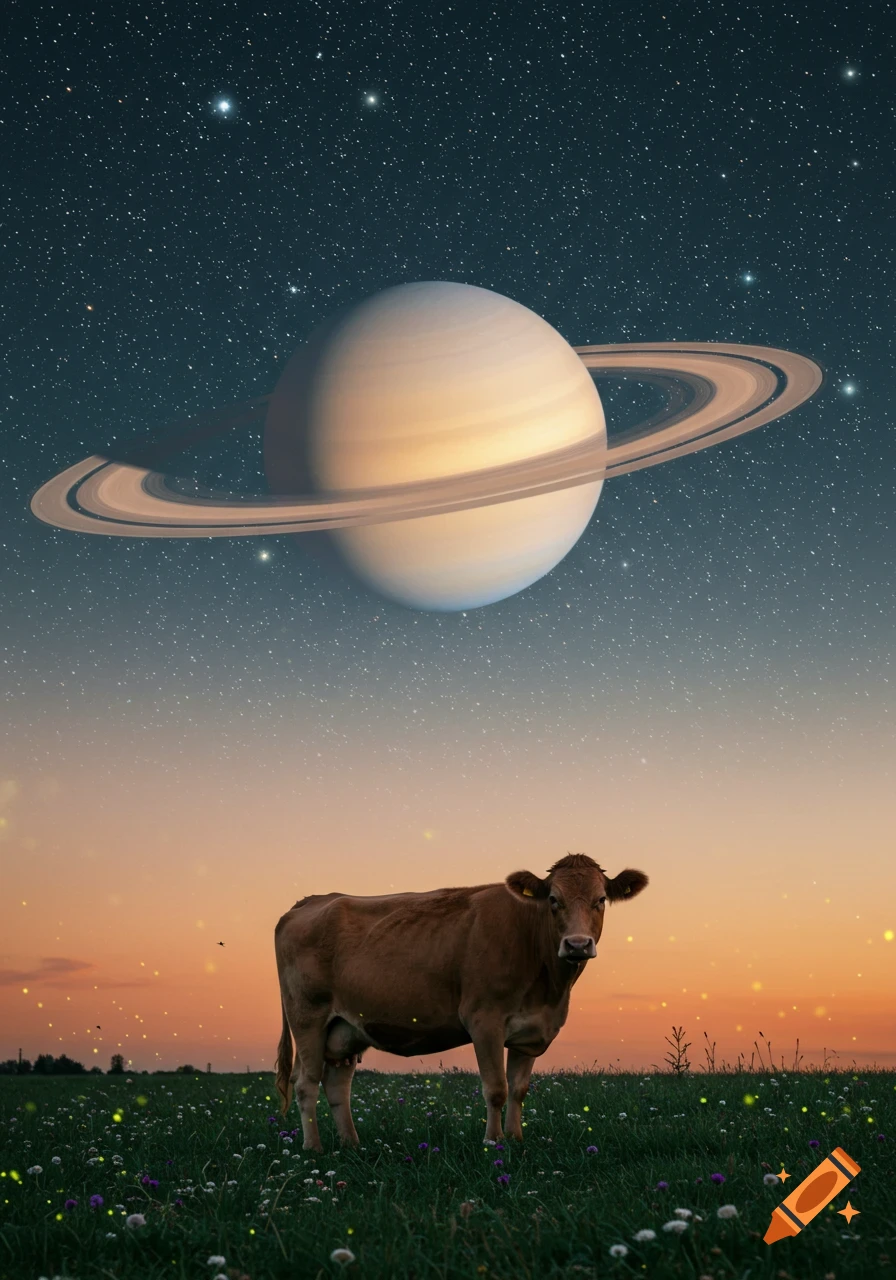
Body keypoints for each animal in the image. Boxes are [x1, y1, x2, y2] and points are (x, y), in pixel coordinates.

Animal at [274, 852, 648, 1150]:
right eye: (554, 900)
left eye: (601, 899)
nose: (577, 944)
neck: (548, 990)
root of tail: (311, 900)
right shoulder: (484, 1020)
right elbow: (496, 1088)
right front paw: (493, 1141)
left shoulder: (531, 1031)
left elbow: (519, 1089)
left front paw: (516, 1139)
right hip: (307, 1019)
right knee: (305, 1083)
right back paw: (314, 1148)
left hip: (345, 1029)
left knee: (337, 1085)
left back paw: (352, 1144)